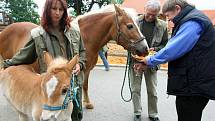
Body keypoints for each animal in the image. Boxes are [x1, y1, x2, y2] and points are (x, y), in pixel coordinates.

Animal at [0, 4, 148, 109]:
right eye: (130, 26)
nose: (145, 49)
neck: (85, 37)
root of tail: (5, 30)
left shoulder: (85, 69)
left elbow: (85, 85)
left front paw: (87, 103)